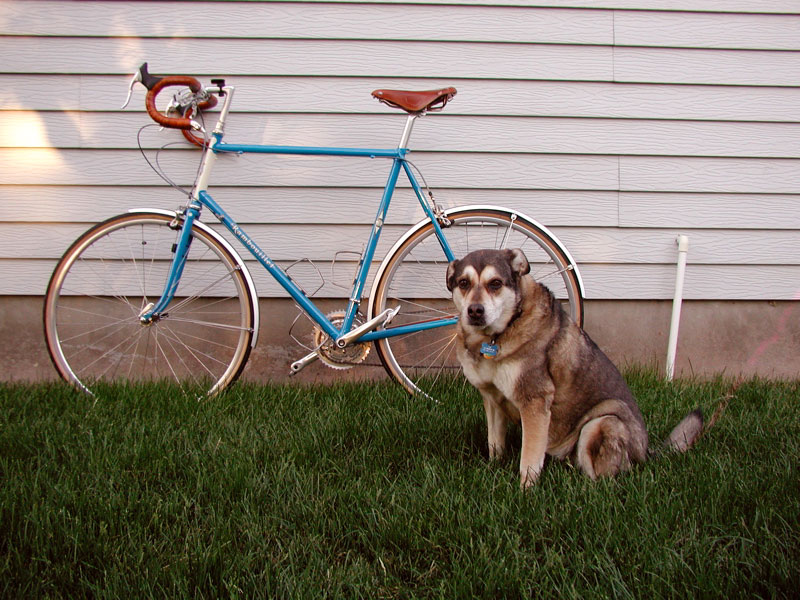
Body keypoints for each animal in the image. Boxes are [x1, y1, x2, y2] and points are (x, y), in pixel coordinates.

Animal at [446, 248, 704, 488]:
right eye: (463, 283)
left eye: (496, 283)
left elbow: (529, 458)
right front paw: (493, 468)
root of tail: (647, 452)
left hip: (602, 422)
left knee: (604, 480)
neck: (498, 333)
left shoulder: (535, 401)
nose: (475, 311)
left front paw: (525, 491)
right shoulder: (492, 398)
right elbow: (495, 444)